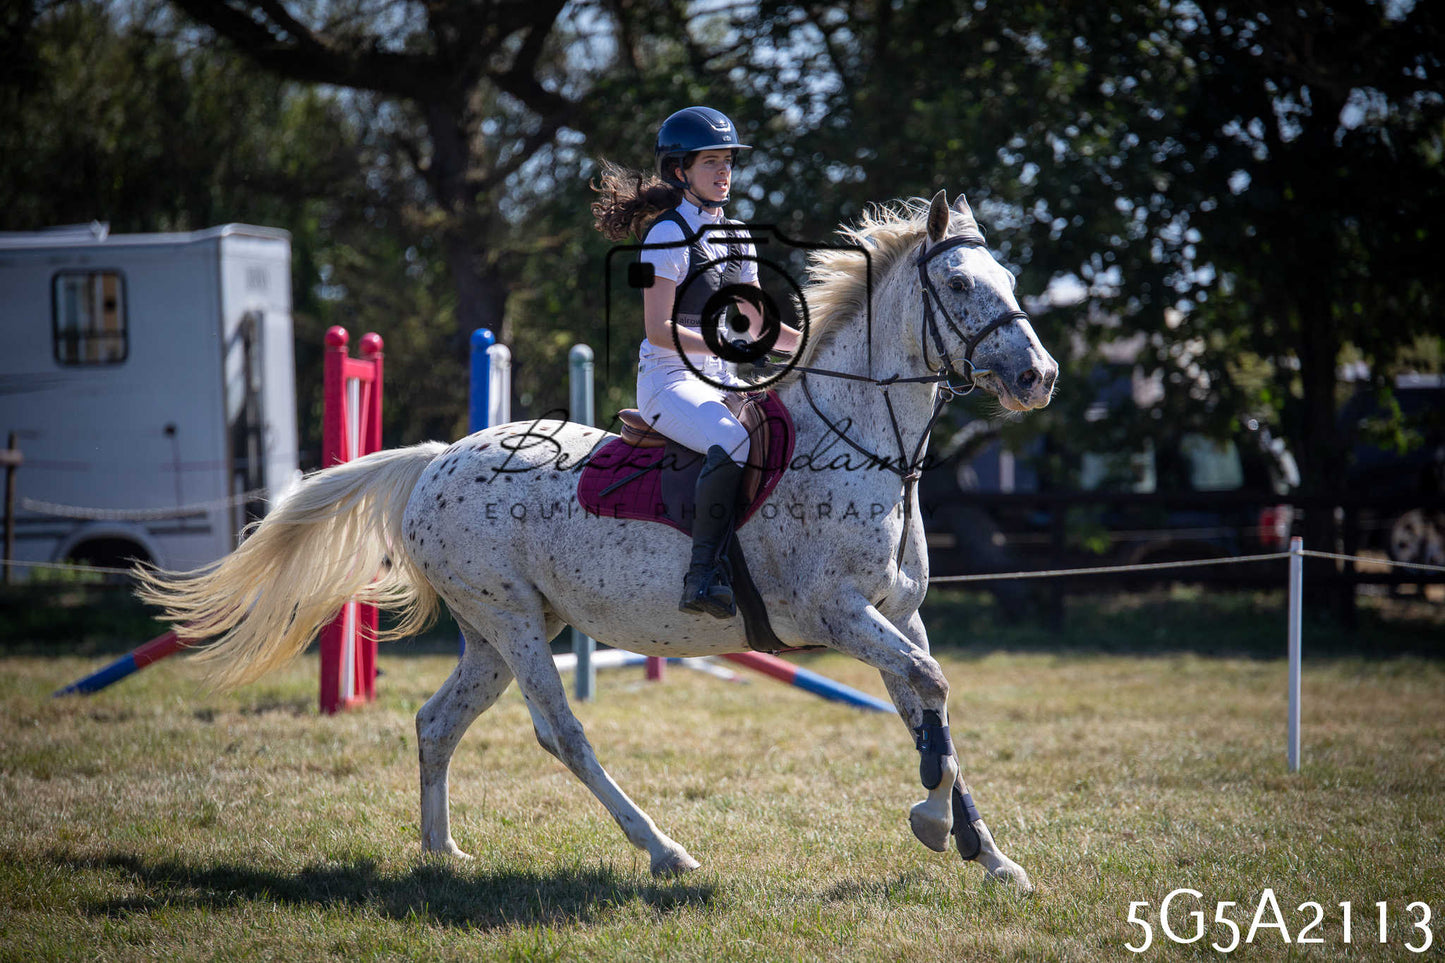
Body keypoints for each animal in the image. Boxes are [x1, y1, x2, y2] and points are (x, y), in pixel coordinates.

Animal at [138, 190, 1058, 892]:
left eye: (1008, 278)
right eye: (959, 283)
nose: (1037, 376)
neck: (864, 442)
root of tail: (437, 459)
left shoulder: (897, 615)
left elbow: (928, 709)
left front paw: (990, 856)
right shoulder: (837, 613)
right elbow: (930, 690)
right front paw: (933, 822)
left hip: (499, 631)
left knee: (437, 721)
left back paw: (440, 852)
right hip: (512, 623)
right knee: (563, 734)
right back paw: (665, 851)